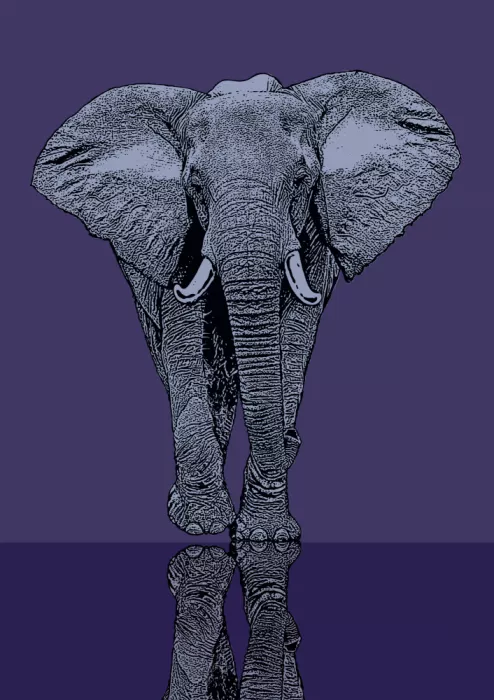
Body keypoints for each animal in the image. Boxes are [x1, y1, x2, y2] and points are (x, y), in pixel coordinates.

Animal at [31, 71, 460, 541]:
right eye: (195, 186)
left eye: (302, 180)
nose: (294, 438)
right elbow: (186, 344)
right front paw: (201, 525)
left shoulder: (315, 232)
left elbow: (292, 340)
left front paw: (266, 536)